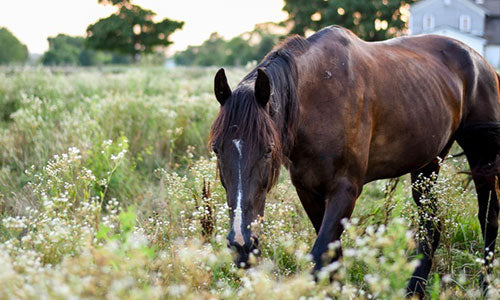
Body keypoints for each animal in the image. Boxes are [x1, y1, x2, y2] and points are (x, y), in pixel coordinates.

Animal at [208, 25, 500, 298]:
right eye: (216, 149)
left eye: (269, 150)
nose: (242, 244)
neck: (317, 101)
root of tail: (480, 61)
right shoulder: (309, 192)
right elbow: (332, 258)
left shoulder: (345, 191)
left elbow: (320, 257)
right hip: (427, 164)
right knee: (431, 224)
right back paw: (414, 289)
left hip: (481, 155)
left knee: (488, 217)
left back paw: (485, 287)